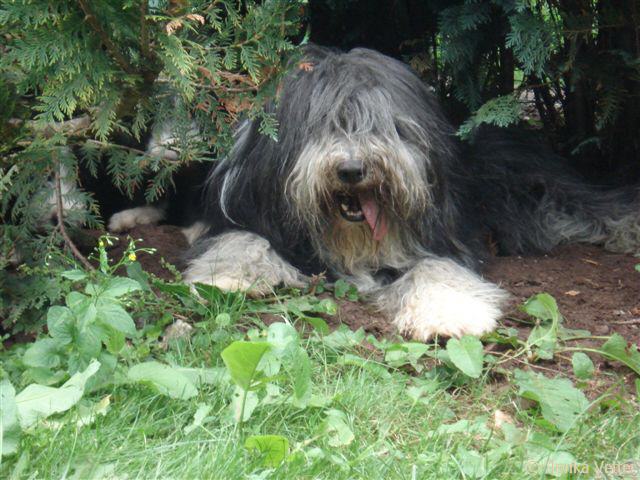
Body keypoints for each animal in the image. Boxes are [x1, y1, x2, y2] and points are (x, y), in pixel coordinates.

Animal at [115, 45, 640, 341]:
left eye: (387, 126)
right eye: (325, 125)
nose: (352, 169)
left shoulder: (443, 238)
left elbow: (436, 268)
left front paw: (449, 314)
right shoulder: (243, 213)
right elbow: (239, 238)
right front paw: (229, 277)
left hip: (526, 184)